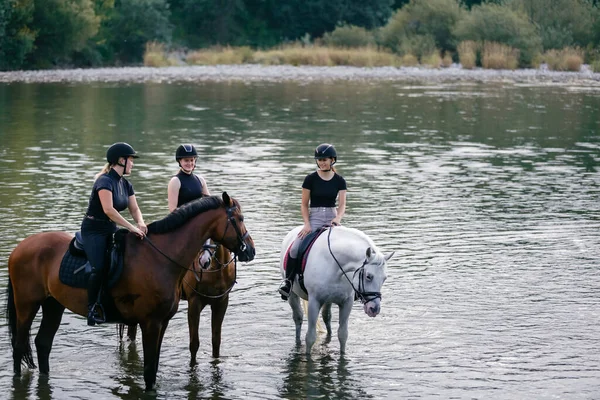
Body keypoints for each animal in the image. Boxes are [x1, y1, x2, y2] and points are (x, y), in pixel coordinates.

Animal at [7, 193, 255, 390]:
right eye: (240, 219)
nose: (250, 250)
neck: (161, 256)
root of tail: (20, 247)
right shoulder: (151, 322)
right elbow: (148, 370)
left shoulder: (163, 321)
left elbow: (154, 366)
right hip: (26, 305)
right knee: (19, 346)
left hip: (53, 304)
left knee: (43, 343)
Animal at [280, 225, 394, 354]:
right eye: (368, 276)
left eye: (384, 278)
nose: (374, 309)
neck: (335, 264)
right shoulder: (314, 302)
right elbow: (310, 337)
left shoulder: (346, 303)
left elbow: (343, 335)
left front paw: (343, 354)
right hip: (292, 295)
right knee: (298, 318)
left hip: (328, 300)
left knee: (326, 317)